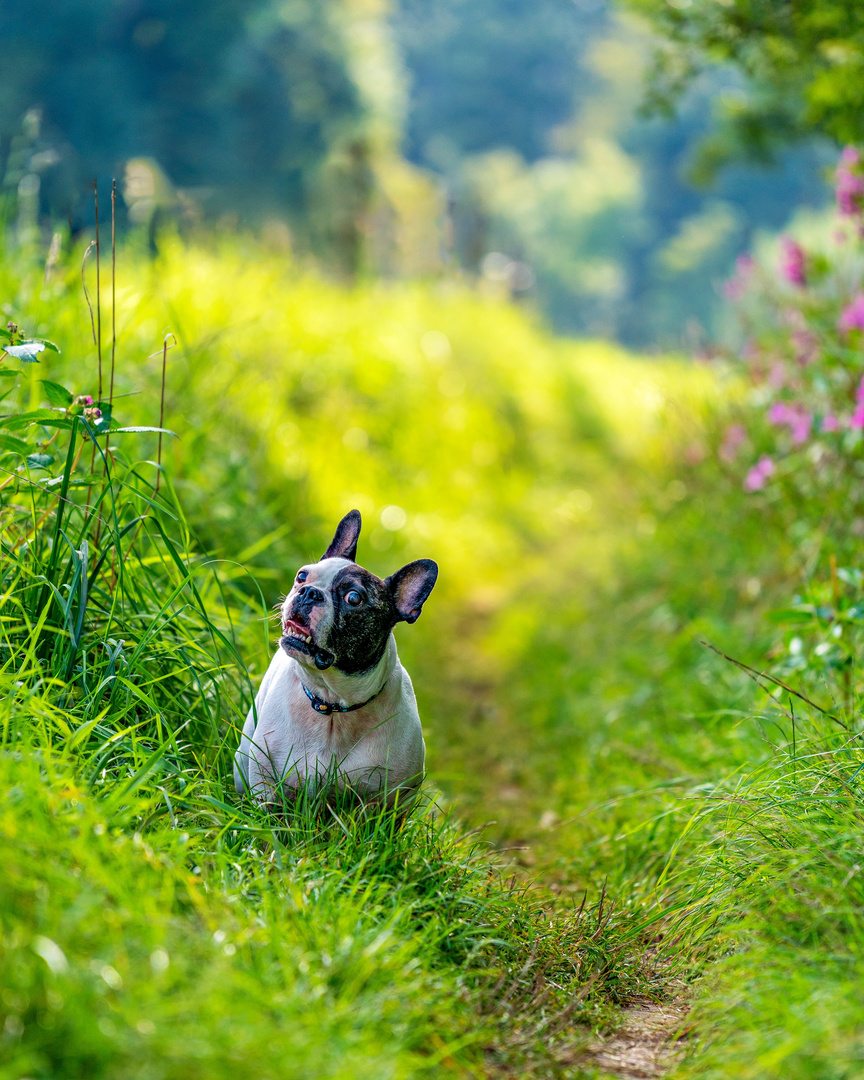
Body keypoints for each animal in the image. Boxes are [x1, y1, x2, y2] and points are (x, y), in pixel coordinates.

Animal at [233, 509, 438, 807]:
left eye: (354, 598)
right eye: (302, 576)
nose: (308, 592)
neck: (333, 704)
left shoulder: (393, 800)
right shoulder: (268, 787)